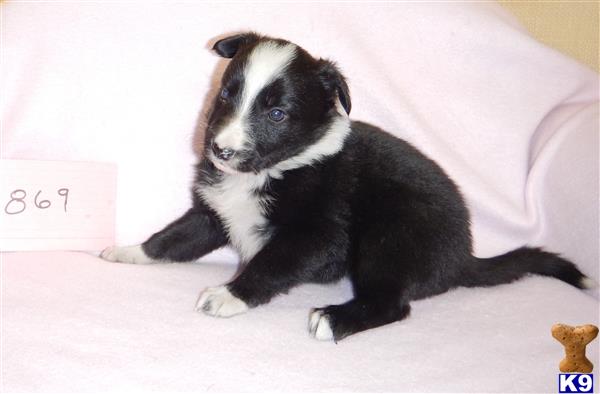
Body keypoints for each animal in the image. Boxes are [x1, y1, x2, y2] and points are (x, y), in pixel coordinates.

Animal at [101, 33, 592, 342]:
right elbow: (173, 238)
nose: (221, 151)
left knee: (394, 304)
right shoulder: (214, 213)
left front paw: (228, 294)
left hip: (391, 237)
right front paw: (128, 252)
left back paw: (335, 320)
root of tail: (463, 259)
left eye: (277, 113)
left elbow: (269, 264)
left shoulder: (317, 237)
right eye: (226, 94)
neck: (275, 168)